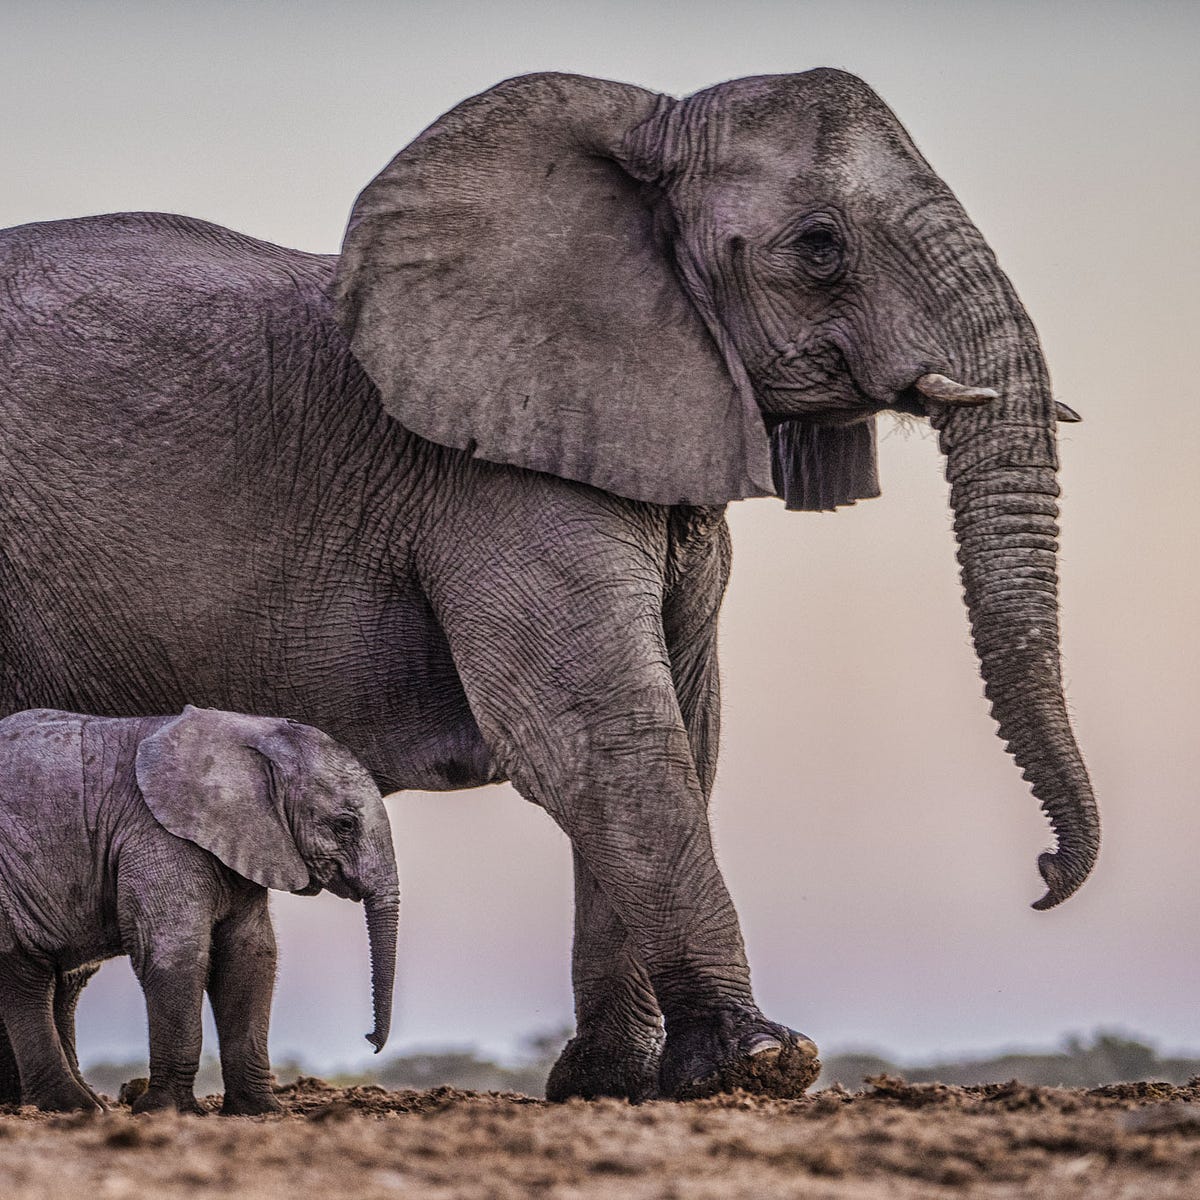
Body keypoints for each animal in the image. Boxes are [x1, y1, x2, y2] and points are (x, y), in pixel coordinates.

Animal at [0, 700, 398, 1113]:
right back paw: (73, 1105)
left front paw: (259, 1110)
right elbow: (177, 953)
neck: (253, 735)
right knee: (27, 976)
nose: (369, 1040)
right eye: (345, 825)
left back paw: (90, 1104)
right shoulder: (156, 835)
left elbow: (251, 957)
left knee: (62, 983)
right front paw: (165, 1109)